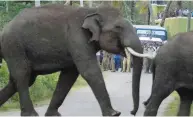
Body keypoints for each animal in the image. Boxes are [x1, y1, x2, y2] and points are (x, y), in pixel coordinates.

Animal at [0, 3, 152, 116]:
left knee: (21, 80)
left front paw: (53, 115)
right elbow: (89, 71)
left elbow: (70, 75)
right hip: (14, 46)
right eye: (118, 27)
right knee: (23, 75)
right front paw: (114, 113)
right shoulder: (77, 37)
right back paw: (31, 114)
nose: (132, 112)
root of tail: (3, 30)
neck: (92, 11)